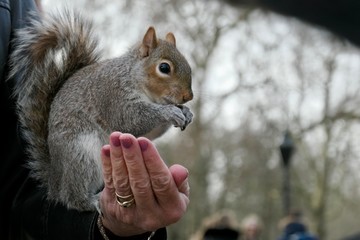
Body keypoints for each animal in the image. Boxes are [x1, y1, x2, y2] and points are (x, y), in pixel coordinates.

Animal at [9, 9, 194, 212]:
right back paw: (91, 200)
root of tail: (55, 182)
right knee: (72, 198)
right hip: (81, 154)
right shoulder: (112, 95)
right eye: (164, 67)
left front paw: (186, 111)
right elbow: (131, 120)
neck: (133, 76)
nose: (188, 96)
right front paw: (169, 112)